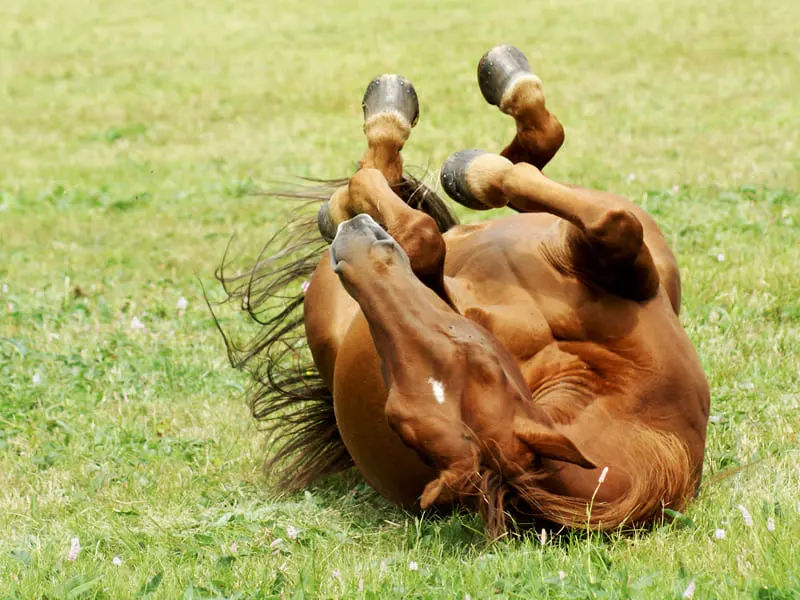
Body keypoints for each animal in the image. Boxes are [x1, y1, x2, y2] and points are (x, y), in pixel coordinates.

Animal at [214, 45, 710, 537]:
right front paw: (473, 172)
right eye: (397, 417)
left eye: (480, 361)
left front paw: (471, 173)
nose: (356, 249)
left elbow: (607, 221)